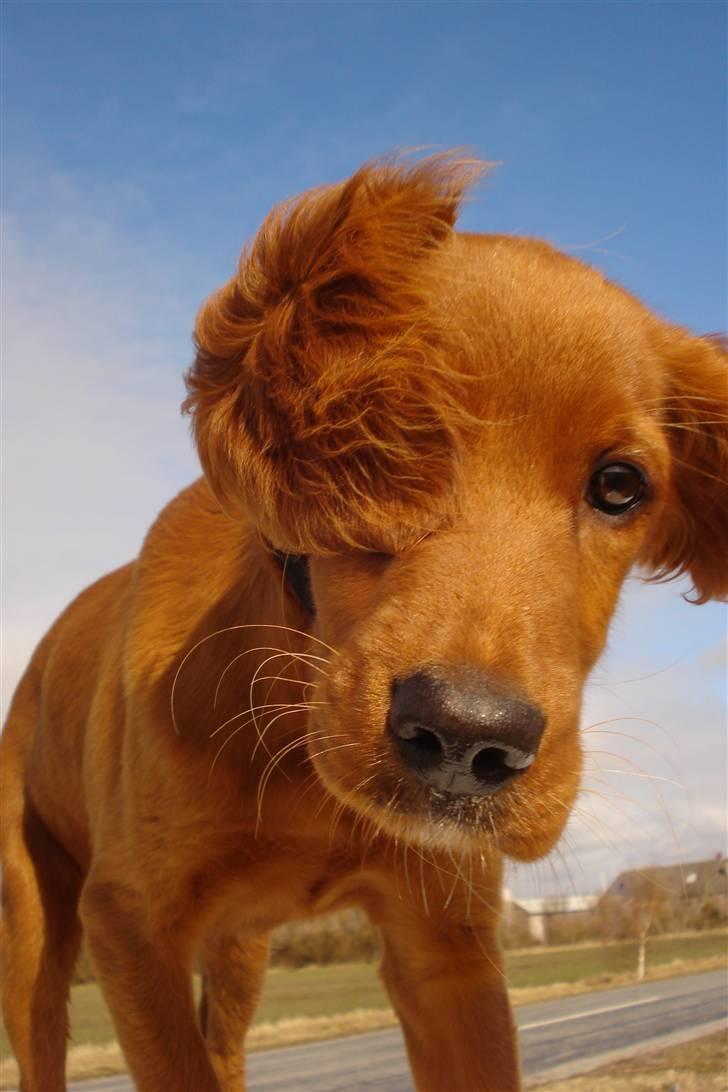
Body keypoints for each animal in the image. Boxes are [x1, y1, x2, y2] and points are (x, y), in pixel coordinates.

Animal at [4, 156, 728, 1092]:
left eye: (620, 486)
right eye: (393, 434)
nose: (466, 738)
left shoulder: (448, 950)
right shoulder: (128, 922)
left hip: (239, 953)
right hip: (33, 931)